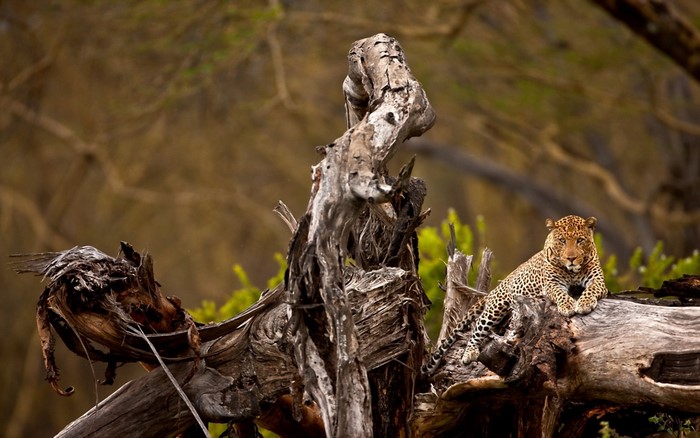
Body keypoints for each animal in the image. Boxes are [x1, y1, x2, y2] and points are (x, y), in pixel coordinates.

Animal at [422, 215, 608, 375]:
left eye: (580, 240)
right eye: (562, 241)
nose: (571, 258)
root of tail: (496, 288)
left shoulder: (598, 281)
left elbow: (591, 289)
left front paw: (584, 303)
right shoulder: (551, 284)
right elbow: (560, 293)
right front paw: (569, 305)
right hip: (495, 308)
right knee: (477, 327)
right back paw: (469, 352)